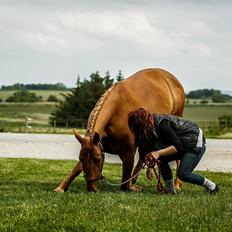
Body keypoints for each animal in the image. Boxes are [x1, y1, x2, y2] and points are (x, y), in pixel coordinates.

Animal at [54, 68, 185, 192]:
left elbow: (124, 184)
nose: (91, 188)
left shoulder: (129, 151)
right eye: (81, 158)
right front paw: (61, 187)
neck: (116, 112)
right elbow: (77, 168)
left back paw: (176, 184)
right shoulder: (98, 144)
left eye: (98, 160)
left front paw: (131, 186)